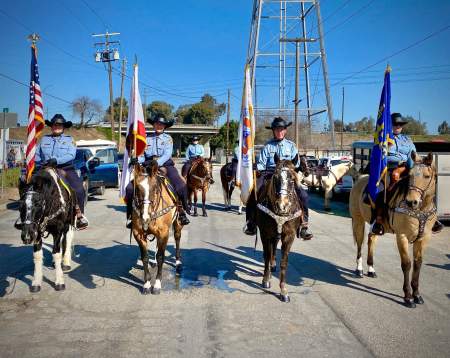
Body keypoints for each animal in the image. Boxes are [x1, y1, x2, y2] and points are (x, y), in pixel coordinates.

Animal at [130, 162, 183, 294]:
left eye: (154, 188)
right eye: (137, 188)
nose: (145, 217)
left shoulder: (164, 233)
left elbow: (161, 257)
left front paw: (157, 284)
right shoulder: (138, 234)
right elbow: (145, 257)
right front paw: (147, 284)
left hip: (177, 224)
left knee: (177, 238)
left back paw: (178, 263)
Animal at [255, 155, 304, 304]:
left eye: (292, 179)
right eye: (275, 177)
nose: (283, 205)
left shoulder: (289, 236)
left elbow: (284, 262)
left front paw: (283, 291)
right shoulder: (265, 233)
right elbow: (266, 255)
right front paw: (266, 279)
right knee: (269, 251)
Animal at [350, 152, 438, 308]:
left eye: (427, 176)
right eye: (410, 175)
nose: (411, 202)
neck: (421, 210)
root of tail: (360, 178)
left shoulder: (423, 238)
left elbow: (418, 264)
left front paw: (417, 295)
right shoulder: (402, 236)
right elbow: (407, 264)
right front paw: (408, 297)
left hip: (376, 226)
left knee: (371, 239)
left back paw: (371, 269)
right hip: (358, 220)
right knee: (360, 244)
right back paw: (359, 269)